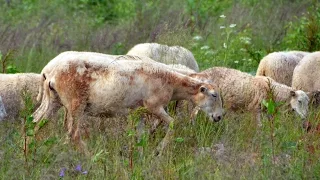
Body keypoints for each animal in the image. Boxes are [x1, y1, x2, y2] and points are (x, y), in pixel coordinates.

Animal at [31, 54, 222, 155]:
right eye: (214, 95)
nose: (219, 117)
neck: (173, 83)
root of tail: (49, 72)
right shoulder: (154, 106)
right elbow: (174, 124)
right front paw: (159, 150)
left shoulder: (138, 112)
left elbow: (140, 135)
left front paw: (141, 154)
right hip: (75, 103)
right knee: (73, 134)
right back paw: (90, 158)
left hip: (54, 99)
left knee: (37, 121)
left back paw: (35, 149)